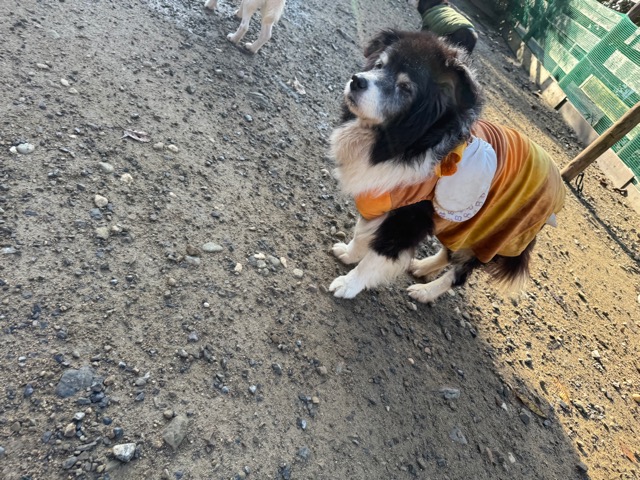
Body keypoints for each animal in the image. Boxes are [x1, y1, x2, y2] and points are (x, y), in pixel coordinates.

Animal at [328, 30, 565, 304]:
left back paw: (426, 292)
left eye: (405, 87)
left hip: (494, 236)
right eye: (379, 65)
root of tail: (557, 182)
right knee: (450, 252)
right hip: (470, 225)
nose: (357, 80)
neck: (409, 142)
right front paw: (349, 253)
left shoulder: (408, 219)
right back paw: (423, 267)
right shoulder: (379, 197)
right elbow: (361, 234)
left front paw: (349, 284)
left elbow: (376, 257)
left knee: (459, 274)